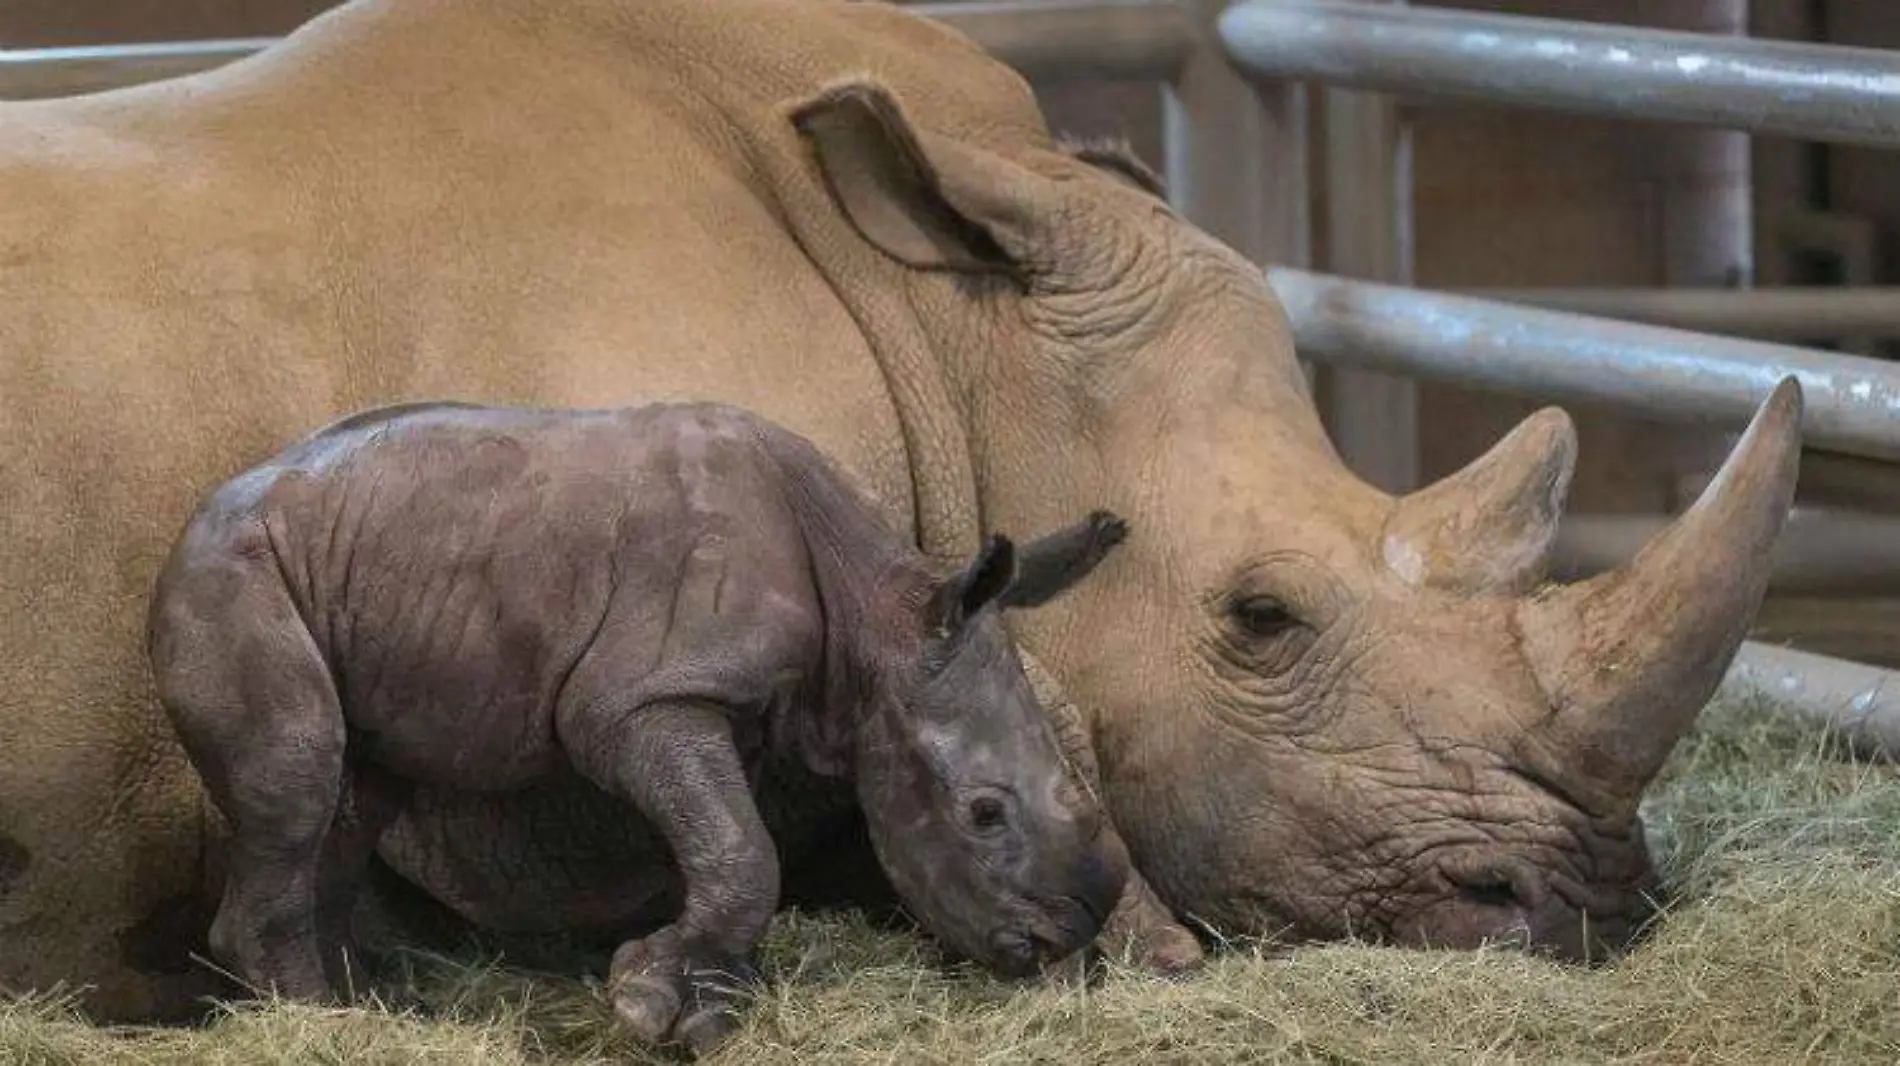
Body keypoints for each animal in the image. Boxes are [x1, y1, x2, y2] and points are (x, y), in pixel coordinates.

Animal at [152, 397, 1124, 1048]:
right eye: (984, 815)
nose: (1062, 936)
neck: (875, 620)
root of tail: (193, 524)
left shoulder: (722, 705)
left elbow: (732, 845)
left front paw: (709, 1009)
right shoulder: (640, 700)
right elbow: (744, 849)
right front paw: (650, 1004)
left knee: (357, 796)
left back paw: (375, 1009)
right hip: (232, 579)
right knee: (298, 775)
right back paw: (319, 1021)